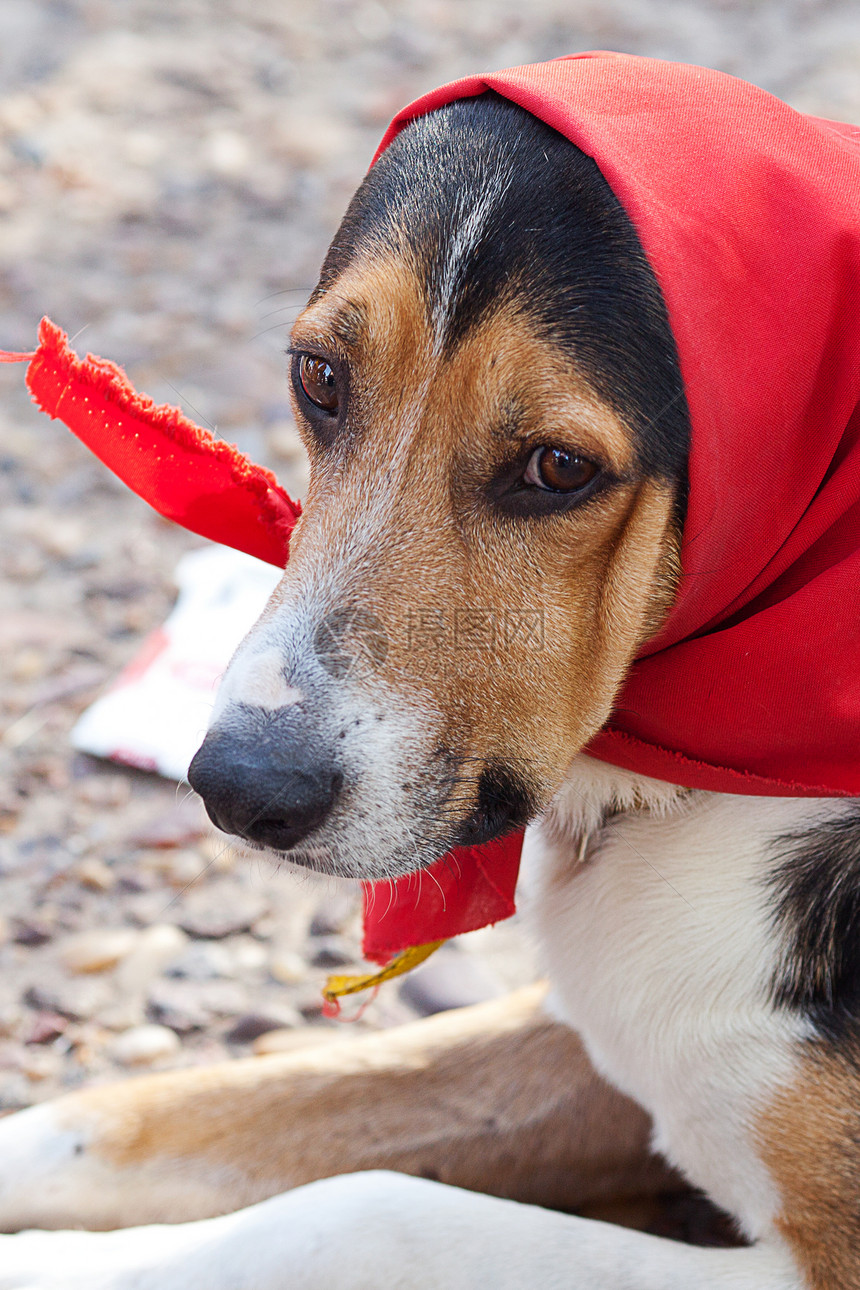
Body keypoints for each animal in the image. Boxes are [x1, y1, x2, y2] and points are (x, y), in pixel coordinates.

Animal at [1, 65, 860, 1290]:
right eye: (318, 379)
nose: (239, 788)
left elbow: (362, 1209)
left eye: (558, 468)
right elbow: (156, 1112)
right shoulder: (597, 1037)